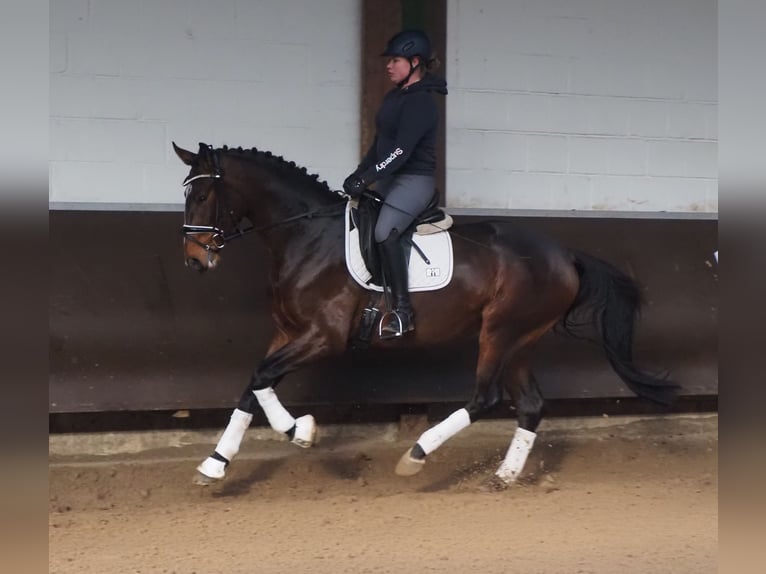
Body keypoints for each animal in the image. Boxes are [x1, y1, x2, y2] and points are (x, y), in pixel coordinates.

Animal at [172, 142, 680, 488]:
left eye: (203, 195)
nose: (194, 260)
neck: (306, 236)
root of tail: (565, 254)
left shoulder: (323, 336)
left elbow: (261, 379)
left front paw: (302, 431)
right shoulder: (287, 332)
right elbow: (253, 385)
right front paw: (216, 463)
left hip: (500, 331)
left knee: (485, 397)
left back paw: (416, 455)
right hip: (522, 339)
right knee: (531, 404)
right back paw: (503, 476)